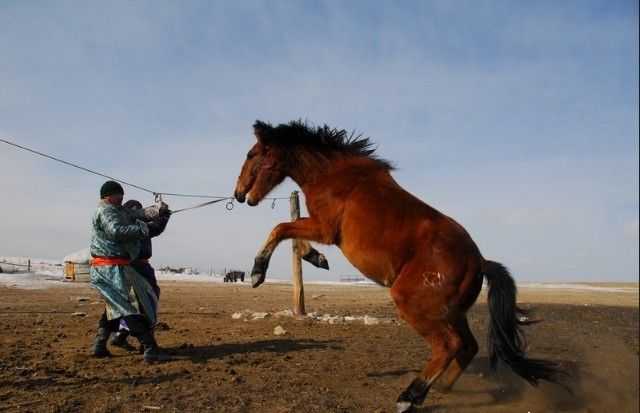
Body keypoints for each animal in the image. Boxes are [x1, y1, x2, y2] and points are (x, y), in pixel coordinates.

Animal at [232, 120, 556, 412]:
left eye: (251, 154)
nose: (238, 194)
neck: (334, 176)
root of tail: (479, 262)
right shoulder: (319, 228)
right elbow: (292, 237)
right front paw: (317, 259)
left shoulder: (324, 228)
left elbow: (281, 228)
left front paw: (258, 273)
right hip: (451, 313)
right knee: (467, 347)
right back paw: (438, 389)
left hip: (414, 304)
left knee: (448, 346)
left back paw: (409, 397)